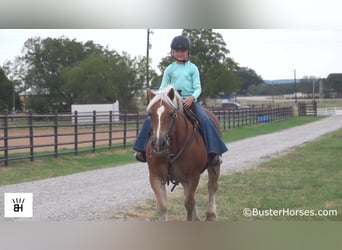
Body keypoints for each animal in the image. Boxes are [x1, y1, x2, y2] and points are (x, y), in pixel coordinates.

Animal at [145, 86, 220, 221]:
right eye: (150, 114)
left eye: (171, 114)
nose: (159, 144)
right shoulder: (155, 176)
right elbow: (162, 207)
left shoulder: (193, 176)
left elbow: (189, 203)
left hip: (214, 165)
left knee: (212, 186)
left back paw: (210, 215)